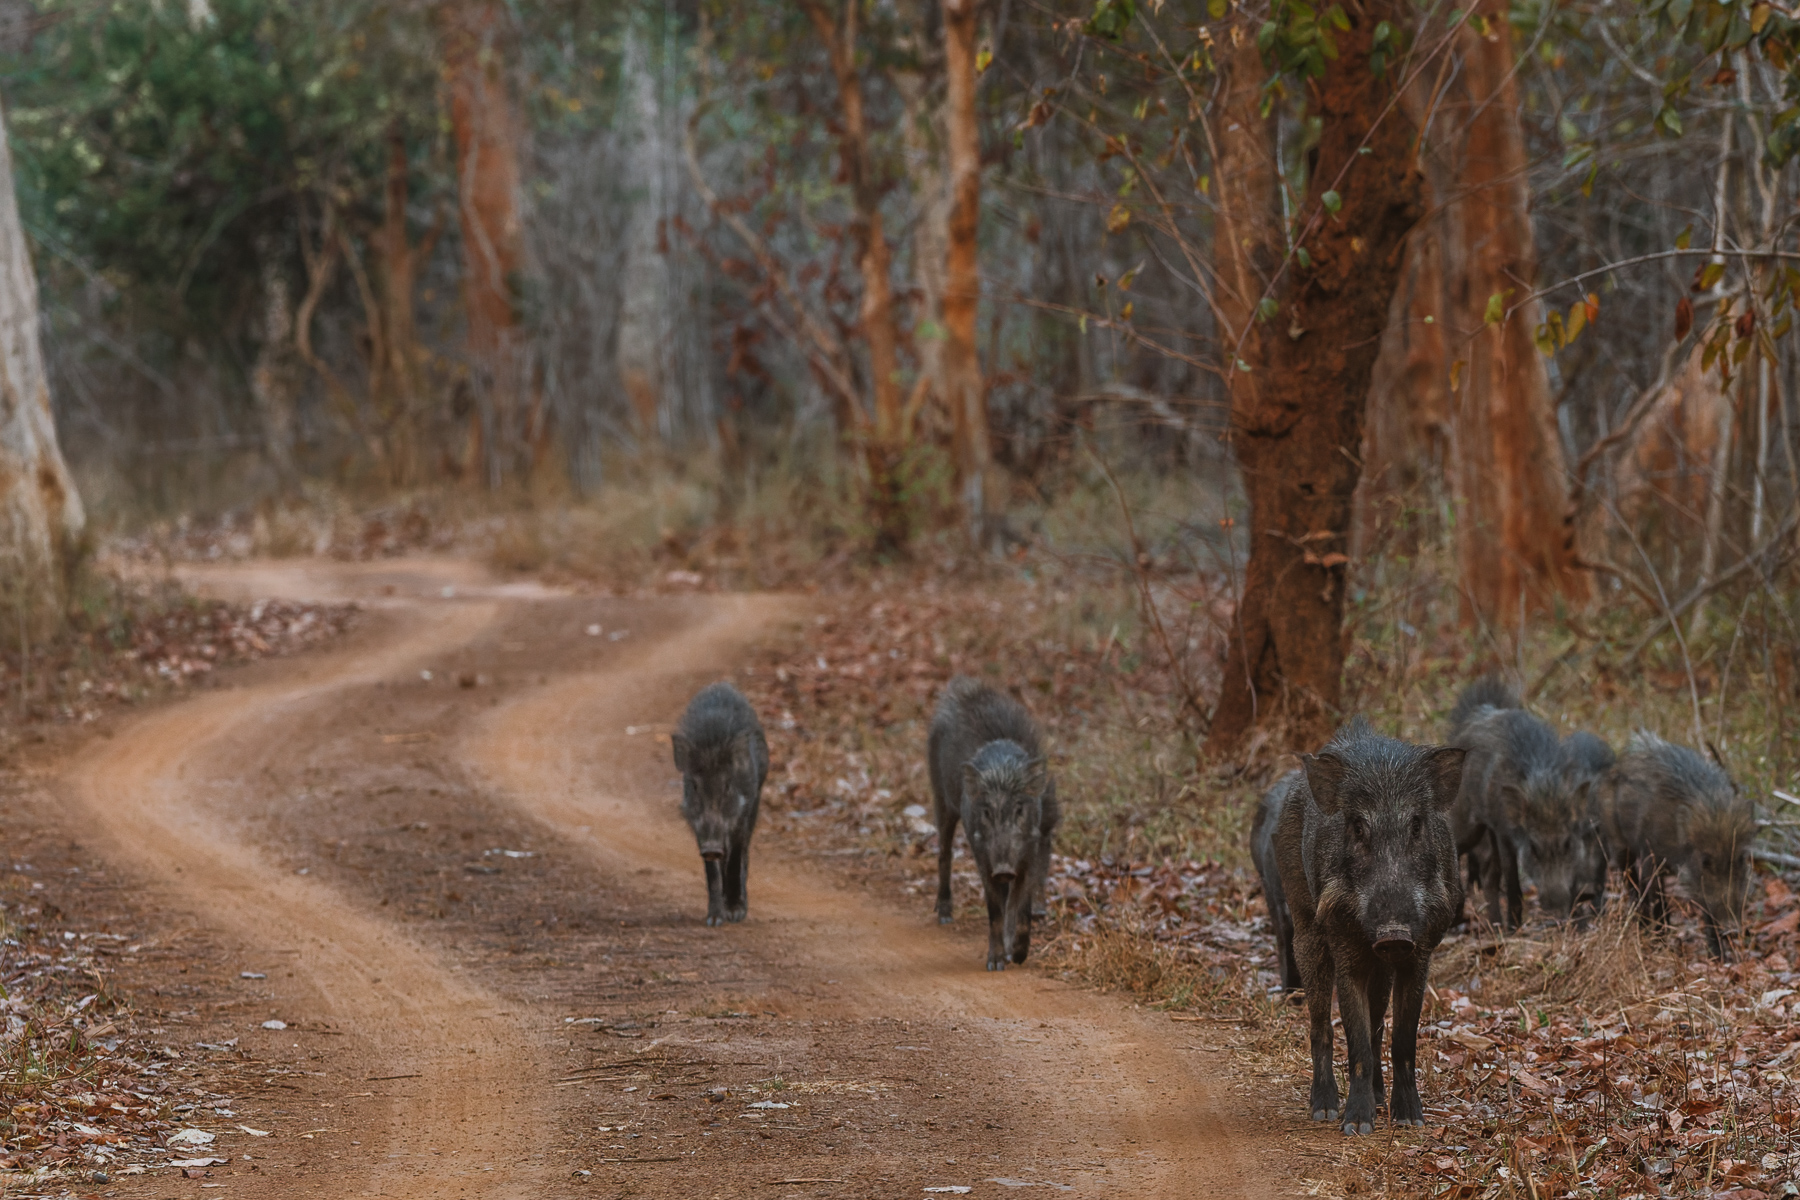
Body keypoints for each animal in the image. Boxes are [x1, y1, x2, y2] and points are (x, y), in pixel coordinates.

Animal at [671, 682, 769, 927]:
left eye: (727, 785)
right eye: (694, 785)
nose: (712, 848)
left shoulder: (743, 812)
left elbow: (735, 858)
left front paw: (734, 915)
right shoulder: (697, 824)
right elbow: (712, 873)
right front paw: (714, 920)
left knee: (742, 854)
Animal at [929, 677, 1060, 971]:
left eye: (1020, 808)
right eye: (986, 812)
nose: (1003, 869)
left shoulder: (1029, 853)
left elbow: (1019, 906)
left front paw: (1018, 955)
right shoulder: (982, 856)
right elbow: (995, 910)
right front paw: (996, 964)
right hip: (941, 799)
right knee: (944, 852)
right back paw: (944, 916)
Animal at [1272, 718, 1465, 1135]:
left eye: (1417, 825)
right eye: (1358, 827)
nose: (1394, 932)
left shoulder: (1418, 955)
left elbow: (1402, 1039)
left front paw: (1409, 1120)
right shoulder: (1347, 950)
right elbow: (1355, 1037)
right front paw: (1356, 1126)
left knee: (1378, 1025)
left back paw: (1377, 1100)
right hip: (1305, 927)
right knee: (1320, 1024)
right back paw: (1324, 1109)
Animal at [1600, 732, 1754, 959]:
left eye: (1741, 858)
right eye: (1705, 861)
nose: (1733, 929)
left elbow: (1706, 911)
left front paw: (1720, 957)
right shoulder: (1651, 855)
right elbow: (1658, 901)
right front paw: (1659, 944)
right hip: (1619, 844)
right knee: (1631, 881)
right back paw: (1641, 924)